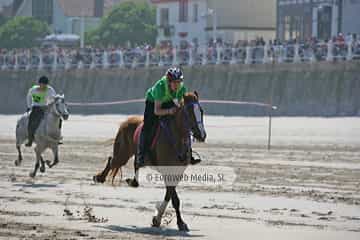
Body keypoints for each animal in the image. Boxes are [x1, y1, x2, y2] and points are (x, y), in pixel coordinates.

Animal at [93, 91, 207, 231]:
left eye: (201, 111)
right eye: (189, 113)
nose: (202, 135)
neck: (177, 138)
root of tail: (126, 121)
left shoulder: (177, 172)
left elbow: (170, 195)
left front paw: (161, 219)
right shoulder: (166, 171)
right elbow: (174, 198)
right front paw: (174, 222)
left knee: (131, 164)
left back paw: (131, 181)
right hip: (122, 154)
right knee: (112, 160)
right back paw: (99, 177)